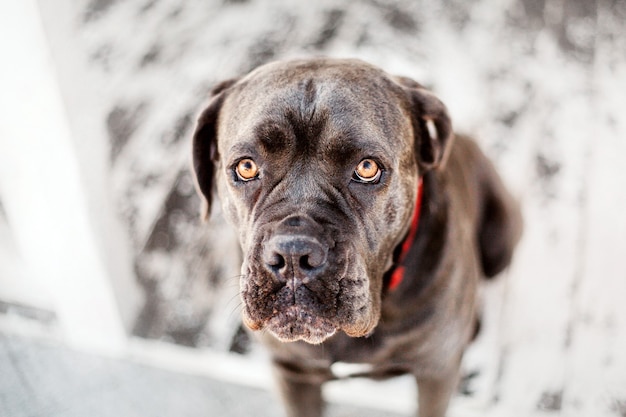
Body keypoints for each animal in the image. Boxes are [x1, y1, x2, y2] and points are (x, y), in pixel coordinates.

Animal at [191, 56, 520, 416]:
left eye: (367, 168)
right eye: (246, 167)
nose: (293, 253)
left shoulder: (436, 371)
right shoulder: (294, 374)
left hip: (501, 236)